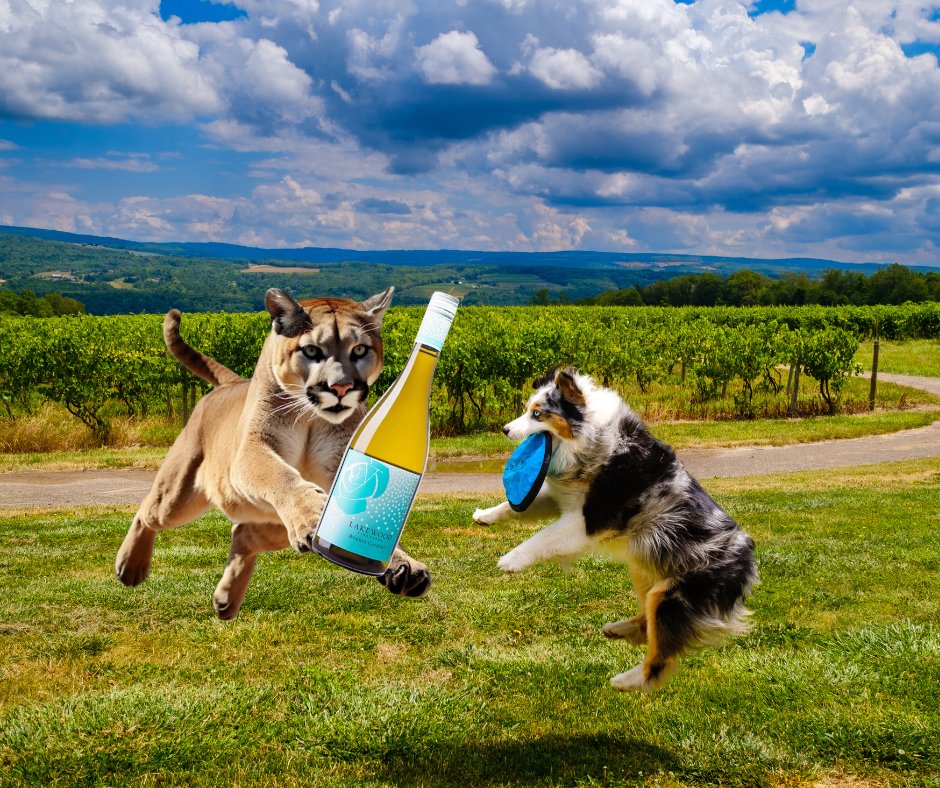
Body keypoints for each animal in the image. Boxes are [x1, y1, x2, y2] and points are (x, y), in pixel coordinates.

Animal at [115, 287, 431, 619]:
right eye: (311, 351)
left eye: (359, 350)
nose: (341, 388)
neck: (310, 417)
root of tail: (231, 384)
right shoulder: (253, 449)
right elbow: (282, 476)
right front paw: (315, 515)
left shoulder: (342, 462)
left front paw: (401, 563)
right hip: (179, 496)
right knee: (148, 512)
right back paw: (130, 567)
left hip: (272, 521)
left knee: (243, 535)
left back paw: (226, 601)